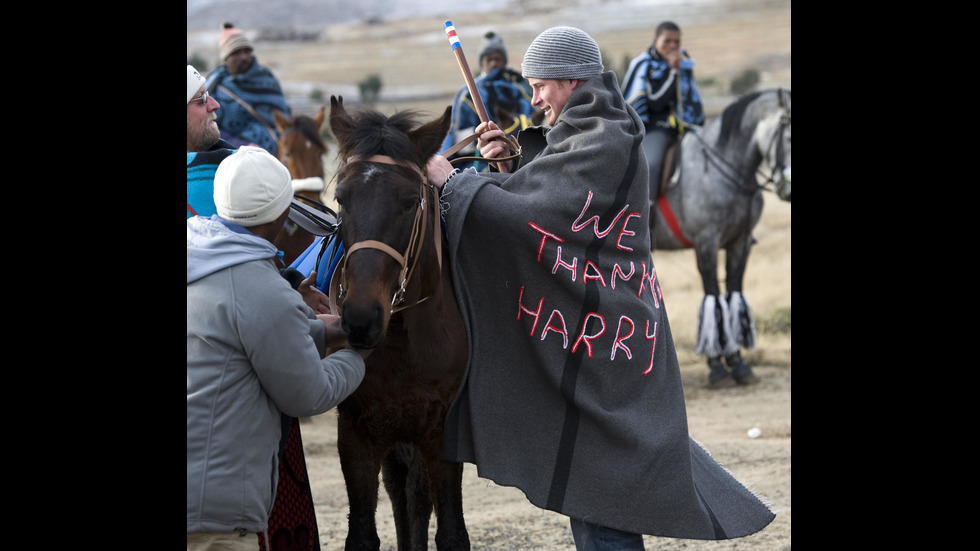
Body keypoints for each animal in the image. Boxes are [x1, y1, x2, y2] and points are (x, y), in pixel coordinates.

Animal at [326, 96, 470, 551]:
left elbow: (449, 530)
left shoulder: (439, 430)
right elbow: (362, 532)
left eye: (409, 201)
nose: (360, 318)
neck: (402, 339)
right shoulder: (357, 432)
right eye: (341, 198)